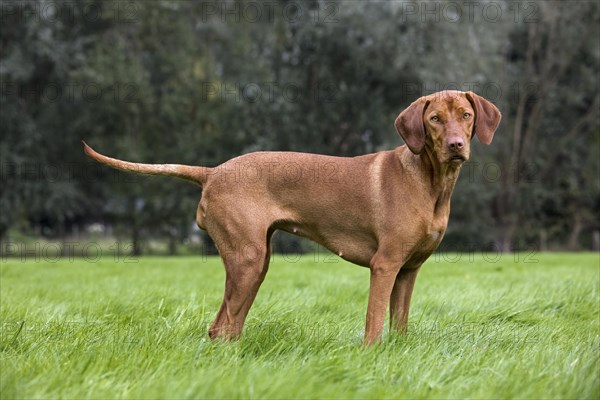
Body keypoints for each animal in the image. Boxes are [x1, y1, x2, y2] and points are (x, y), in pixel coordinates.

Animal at [82, 90, 500, 344]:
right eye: (434, 119)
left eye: (465, 115)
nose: (456, 146)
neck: (432, 184)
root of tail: (213, 171)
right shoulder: (384, 265)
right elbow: (374, 323)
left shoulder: (409, 270)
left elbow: (399, 324)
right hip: (248, 260)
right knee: (221, 327)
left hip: (255, 263)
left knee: (226, 327)